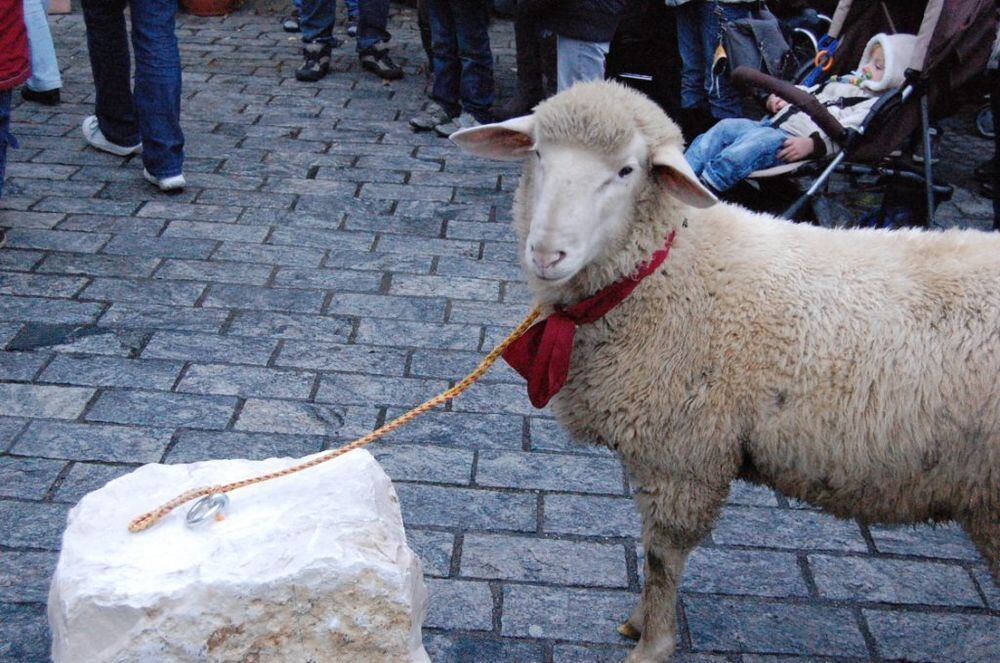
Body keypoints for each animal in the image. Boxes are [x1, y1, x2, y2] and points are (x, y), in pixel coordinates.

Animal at [456, 81, 1000, 663]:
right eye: (537, 153)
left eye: (627, 171)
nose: (546, 252)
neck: (667, 269)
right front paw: (639, 623)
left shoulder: (684, 457)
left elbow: (661, 558)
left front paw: (652, 642)